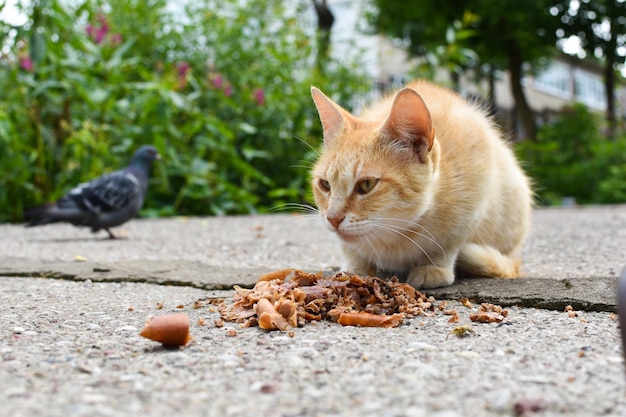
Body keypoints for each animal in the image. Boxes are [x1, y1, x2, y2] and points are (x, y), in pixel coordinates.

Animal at [310, 80, 528, 290]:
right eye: (325, 184)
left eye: (367, 185)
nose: (332, 219)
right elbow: (351, 250)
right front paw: (355, 269)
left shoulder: (473, 204)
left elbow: (448, 243)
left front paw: (432, 267)